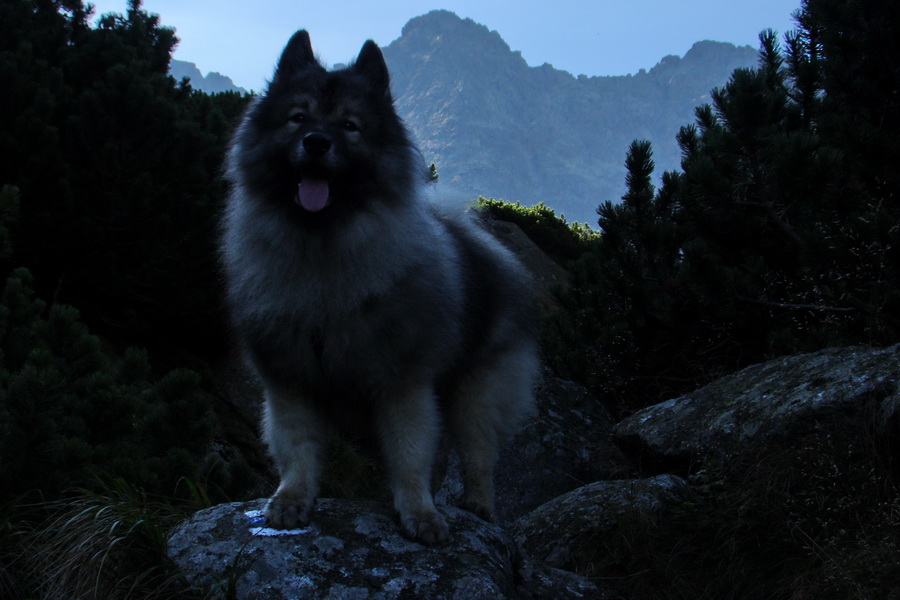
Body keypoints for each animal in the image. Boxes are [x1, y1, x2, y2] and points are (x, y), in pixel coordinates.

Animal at [221, 29, 536, 544]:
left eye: (350, 126)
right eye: (298, 117)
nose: (316, 141)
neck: (323, 252)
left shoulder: (402, 384)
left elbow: (409, 456)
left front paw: (421, 514)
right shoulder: (290, 379)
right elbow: (297, 448)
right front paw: (291, 500)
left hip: (478, 391)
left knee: (478, 454)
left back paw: (478, 506)